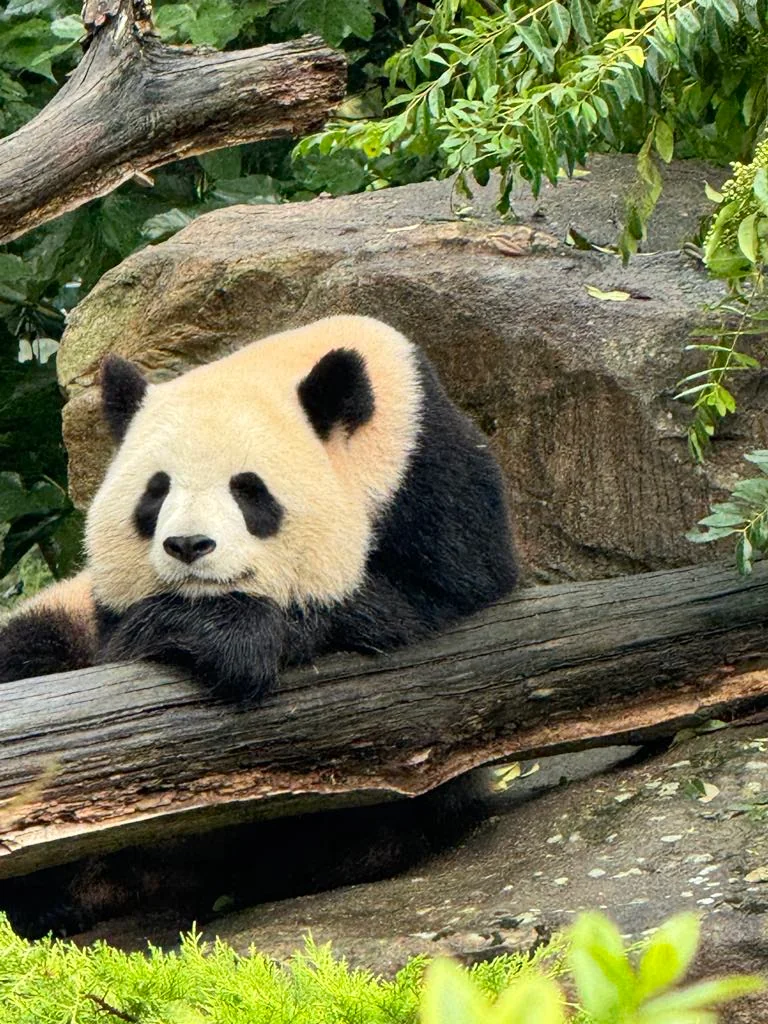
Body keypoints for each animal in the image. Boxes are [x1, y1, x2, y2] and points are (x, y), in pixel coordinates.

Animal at [0, 315, 517, 697]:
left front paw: (214, 633)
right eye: (156, 492)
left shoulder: (432, 480)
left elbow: (422, 596)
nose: (189, 544)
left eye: (249, 491)